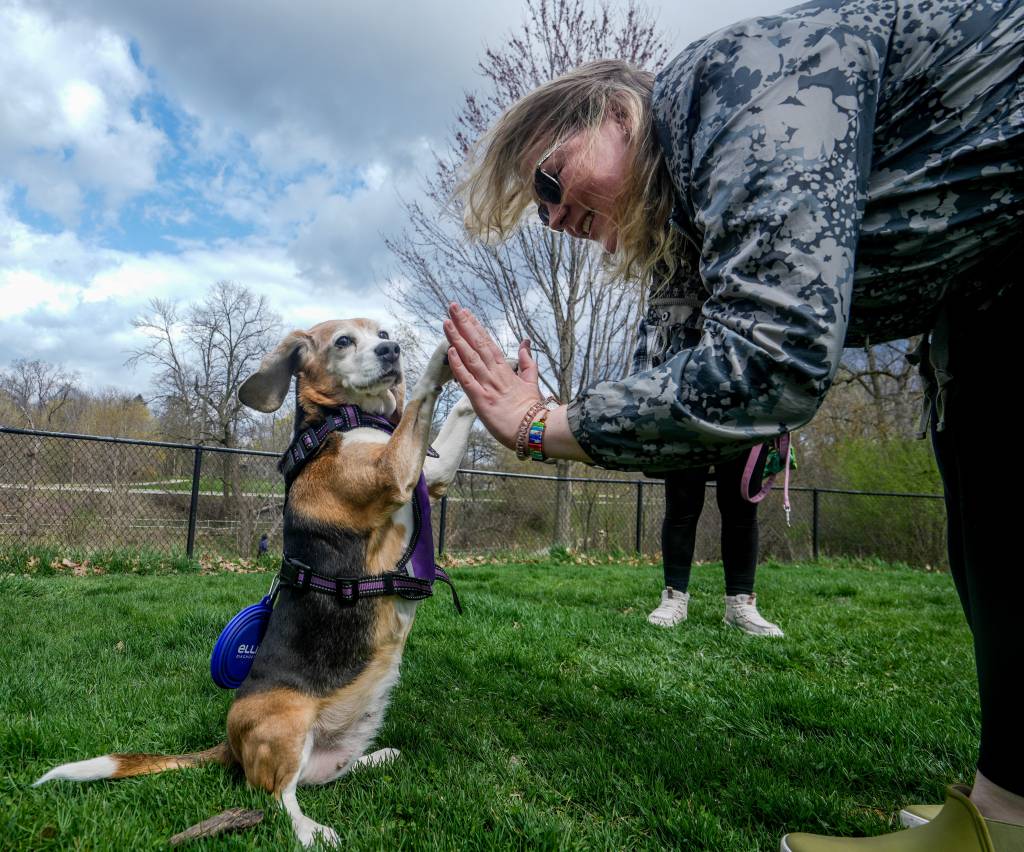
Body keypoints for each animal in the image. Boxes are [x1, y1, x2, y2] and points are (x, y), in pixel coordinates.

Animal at [35, 319, 475, 843]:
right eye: (343, 341)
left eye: (382, 331)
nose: (392, 350)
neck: (345, 419)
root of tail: (228, 743)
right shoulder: (391, 472)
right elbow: (421, 398)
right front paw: (443, 353)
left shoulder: (432, 473)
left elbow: (452, 425)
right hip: (285, 726)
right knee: (273, 794)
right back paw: (310, 831)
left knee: (324, 774)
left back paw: (378, 757)